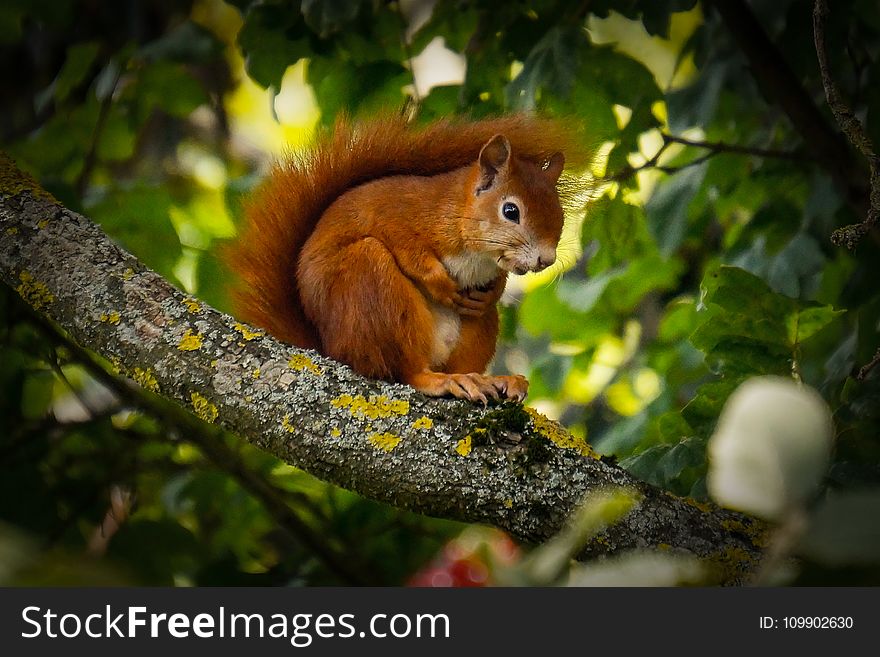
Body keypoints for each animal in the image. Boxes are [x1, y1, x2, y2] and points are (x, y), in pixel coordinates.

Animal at [230, 112, 580, 400]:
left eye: (560, 215)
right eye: (510, 211)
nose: (546, 260)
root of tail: (330, 348)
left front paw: (492, 292)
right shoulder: (392, 215)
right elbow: (409, 251)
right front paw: (440, 283)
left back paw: (490, 379)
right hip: (370, 286)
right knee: (404, 371)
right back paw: (440, 380)